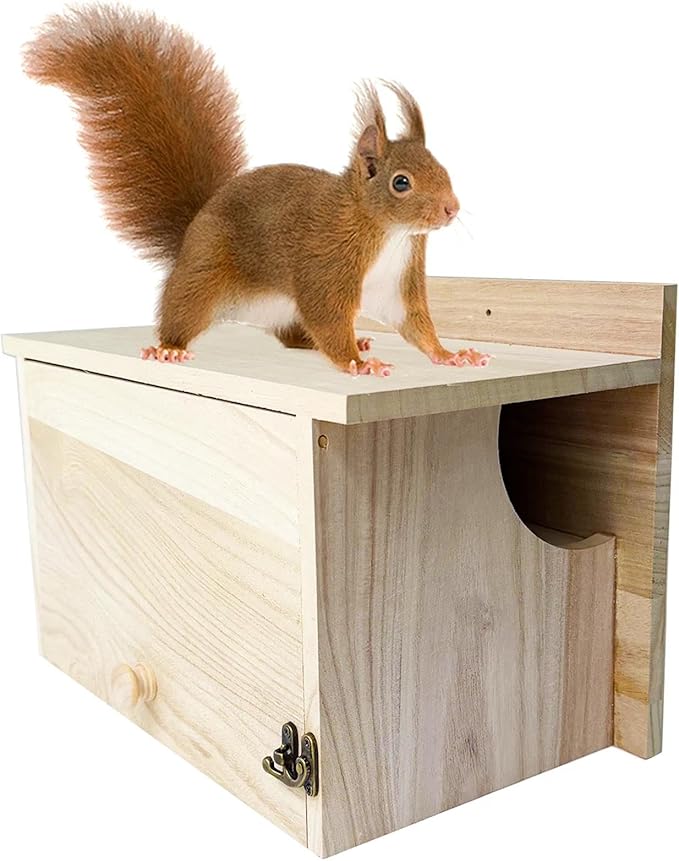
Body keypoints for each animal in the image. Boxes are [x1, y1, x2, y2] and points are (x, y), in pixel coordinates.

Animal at [24, 5, 489, 376]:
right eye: (401, 183)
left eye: (443, 168)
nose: (451, 208)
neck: (388, 233)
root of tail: (192, 228)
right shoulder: (327, 263)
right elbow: (327, 316)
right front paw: (358, 364)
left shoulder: (398, 281)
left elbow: (415, 324)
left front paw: (451, 355)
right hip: (203, 276)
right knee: (182, 313)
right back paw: (169, 348)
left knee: (295, 336)